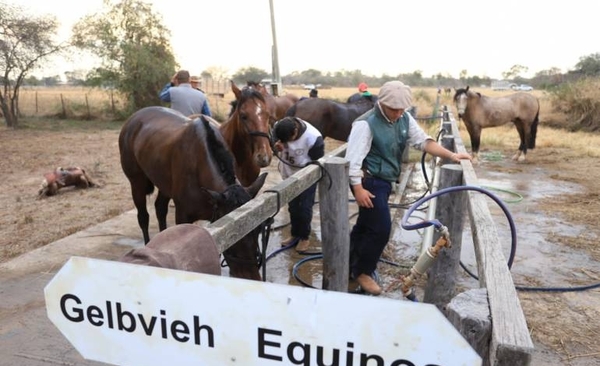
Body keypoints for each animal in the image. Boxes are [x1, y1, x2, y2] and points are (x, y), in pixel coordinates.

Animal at [119, 108, 268, 280]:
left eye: (258, 229)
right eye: (233, 235)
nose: (252, 277)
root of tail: (134, 118)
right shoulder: (183, 217)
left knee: (160, 208)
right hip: (136, 183)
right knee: (143, 216)